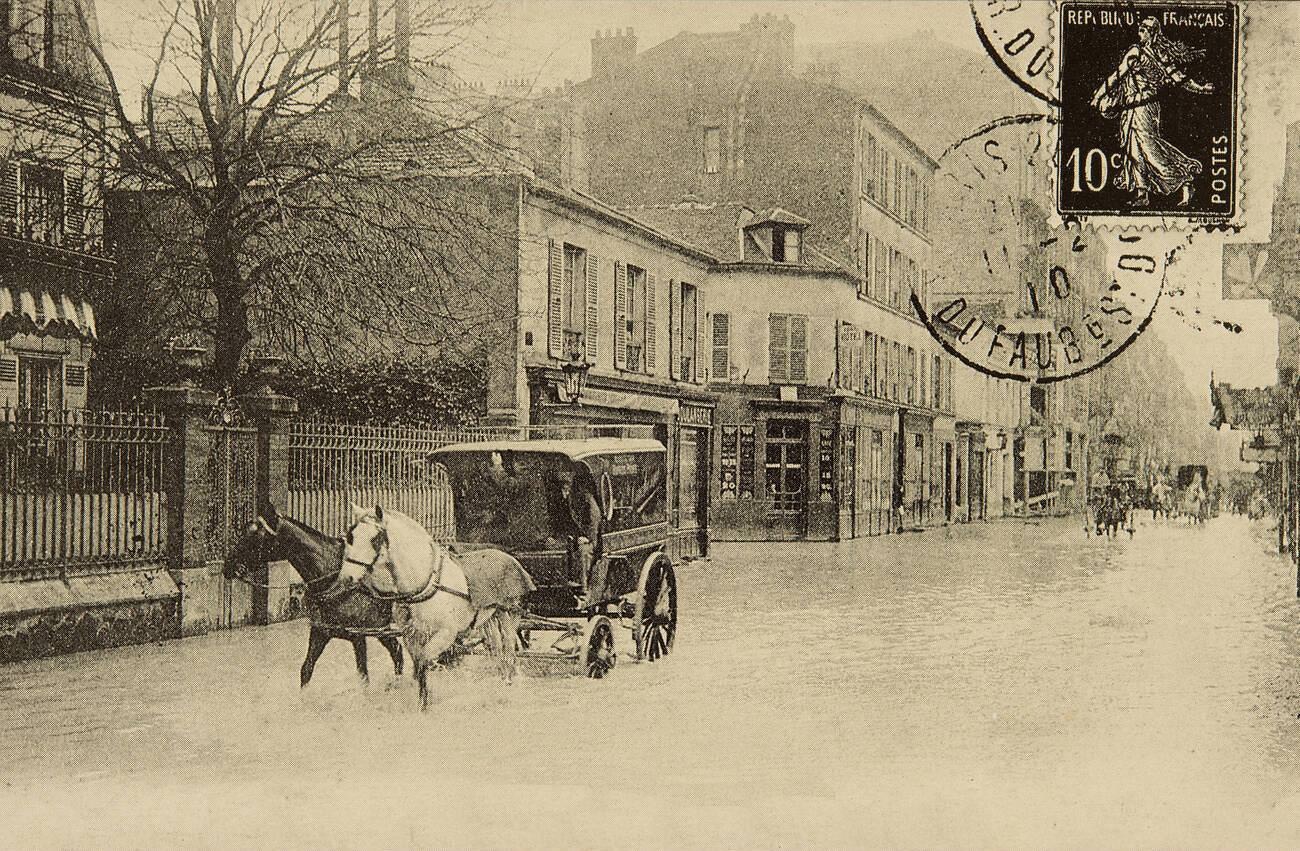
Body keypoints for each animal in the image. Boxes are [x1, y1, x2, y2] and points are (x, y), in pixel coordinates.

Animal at [223, 501, 403, 691]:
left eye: (255, 536)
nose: (227, 565)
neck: (333, 577)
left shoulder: (359, 636)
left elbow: (363, 676)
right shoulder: (320, 632)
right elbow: (306, 669)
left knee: (398, 653)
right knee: (398, 652)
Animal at [343, 506, 530, 711]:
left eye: (375, 539)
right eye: (351, 536)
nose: (346, 577)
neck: (424, 583)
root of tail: (508, 556)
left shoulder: (446, 633)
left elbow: (424, 660)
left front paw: (424, 705)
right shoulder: (411, 635)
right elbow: (417, 664)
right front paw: (422, 701)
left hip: (510, 612)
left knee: (509, 645)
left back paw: (510, 680)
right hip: (489, 616)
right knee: (496, 646)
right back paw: (501, 678)